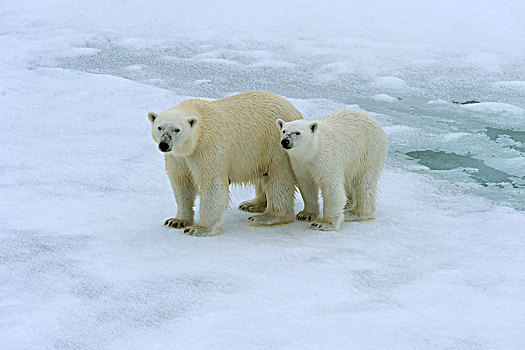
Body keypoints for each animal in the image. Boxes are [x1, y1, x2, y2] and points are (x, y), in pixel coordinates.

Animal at [147, 91, 302, 237]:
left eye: (177, 129)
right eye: (159, 127)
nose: (164, 144)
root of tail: (295, 111)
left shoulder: (208, 146)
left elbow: (212, 184)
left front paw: (199, 229)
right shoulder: (178, 157)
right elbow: (181, 182)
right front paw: (176, 221)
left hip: (275, 145)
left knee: (278, 178)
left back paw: (267, 216)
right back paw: (252, 204)